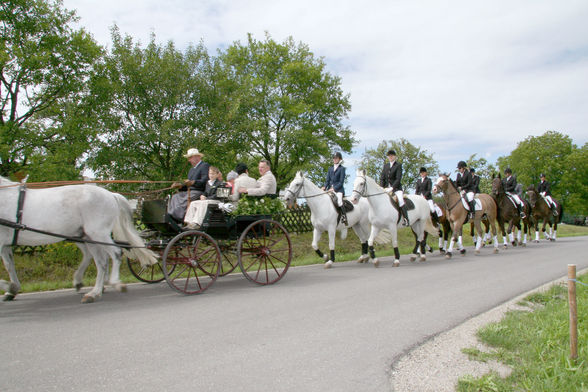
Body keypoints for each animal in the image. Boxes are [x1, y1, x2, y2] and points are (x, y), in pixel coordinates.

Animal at [0, 177, 157, 304]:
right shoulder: (5, 244)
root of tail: (111, 194)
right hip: (88, 236)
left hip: (97, 233)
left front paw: (10, 287)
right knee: (100, 260)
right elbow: (9, 265)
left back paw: (112, 284)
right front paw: (12, 289)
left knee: (115, 254)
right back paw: (94, 291)